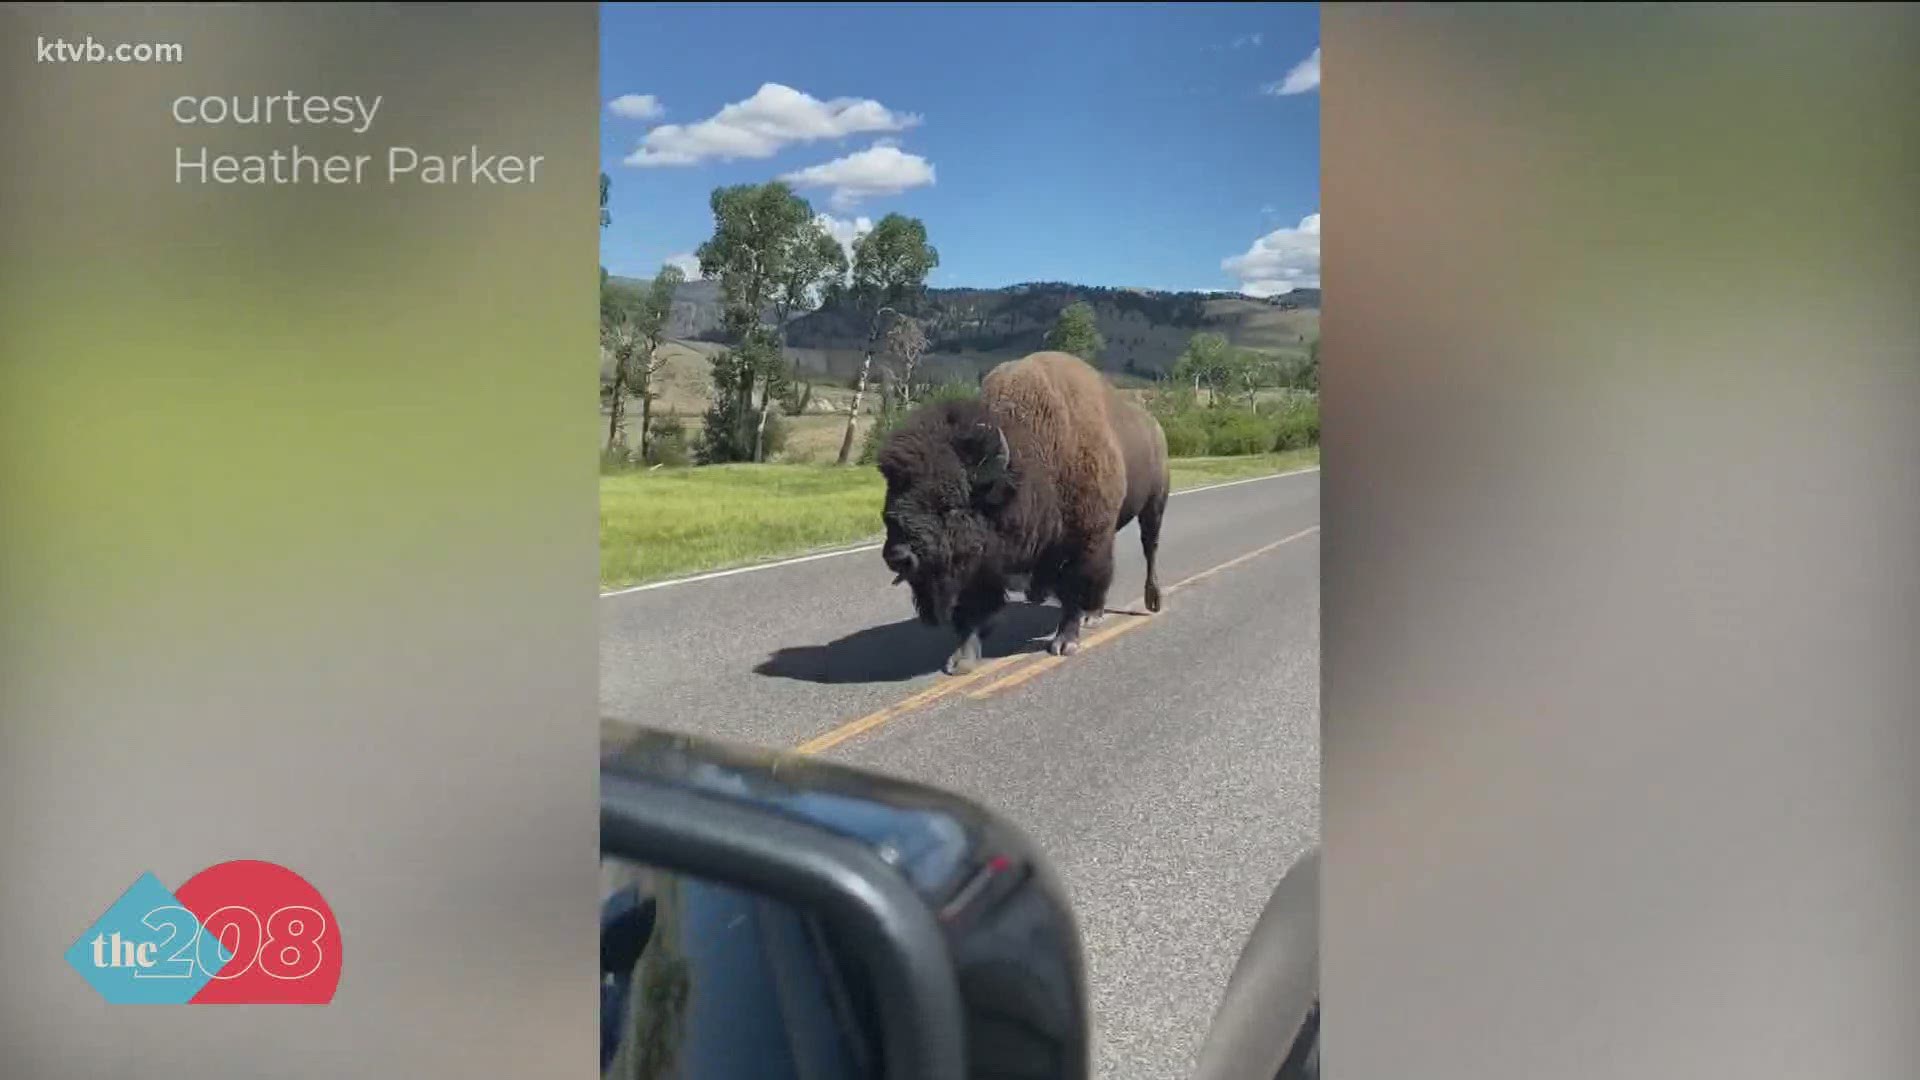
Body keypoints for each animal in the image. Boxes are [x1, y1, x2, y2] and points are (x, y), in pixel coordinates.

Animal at [875, 351, 1167, 672]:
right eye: (891, 497)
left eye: (949, 504)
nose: (898, 556)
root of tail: (1155, 427)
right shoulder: (982, 562)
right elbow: (974, 606)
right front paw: (961, 659)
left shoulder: (1081, 543)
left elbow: (1074, 590)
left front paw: (1065, 643)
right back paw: (1094, 613)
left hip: (1153, 505)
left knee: (1148, 549)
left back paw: (1148, 601)